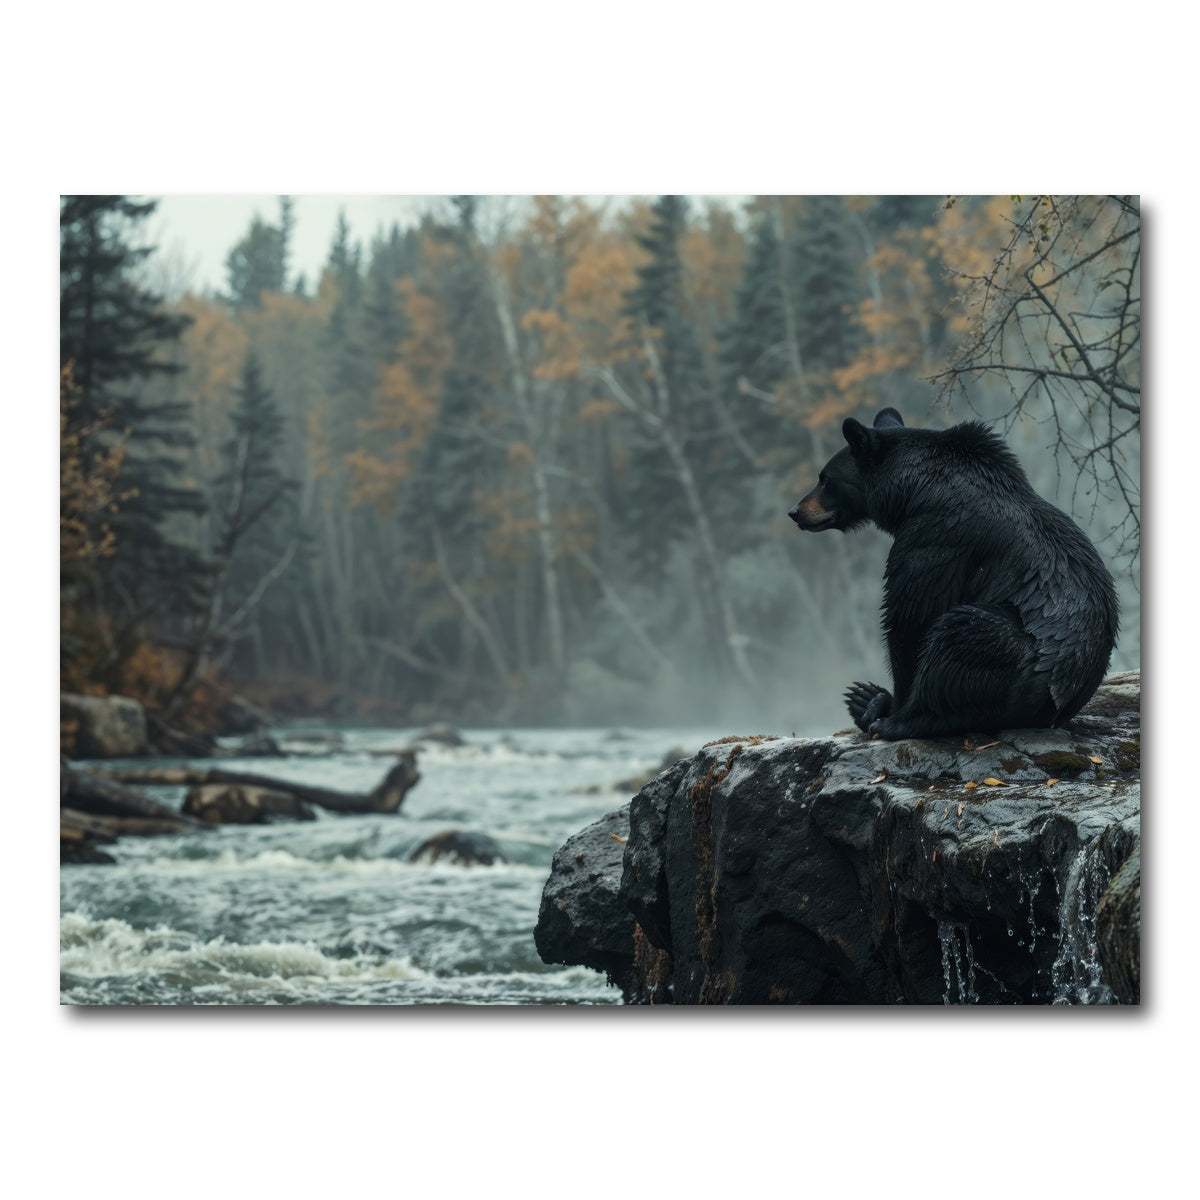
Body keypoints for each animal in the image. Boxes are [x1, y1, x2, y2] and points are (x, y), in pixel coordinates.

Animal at [788, 407, 1119, 741]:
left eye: (825, 479)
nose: (795, 512)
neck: (913, 490)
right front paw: (871, 698)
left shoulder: (938, 534)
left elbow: (912, 614)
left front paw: (891, 709)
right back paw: (865, 698)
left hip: (1021, 662)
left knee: (962, 634)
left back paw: (892, 716)